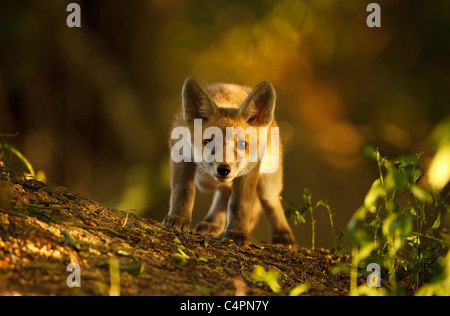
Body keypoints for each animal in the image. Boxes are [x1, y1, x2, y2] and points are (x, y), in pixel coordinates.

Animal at [162, 76, 296, 244]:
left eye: (242, 144)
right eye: (208, 142)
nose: (224, 169)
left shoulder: (250, 170)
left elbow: (240, 203)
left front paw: (237, 231)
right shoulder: (179, 154)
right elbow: (183, 190)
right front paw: (178, 217)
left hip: (268, 185)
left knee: (271, 203)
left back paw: (283, 234)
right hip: (206, 182)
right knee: (224, 195)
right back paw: (213, 223)